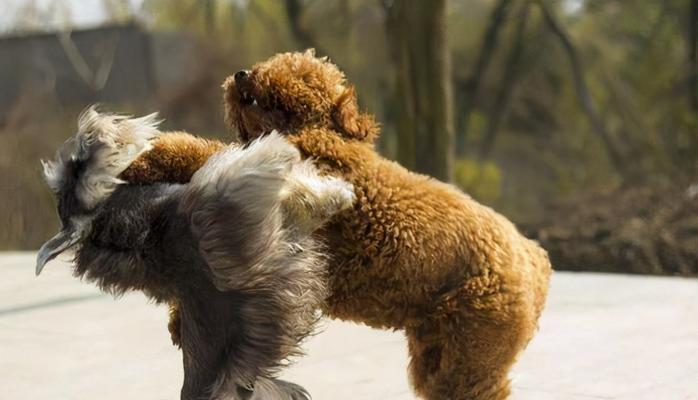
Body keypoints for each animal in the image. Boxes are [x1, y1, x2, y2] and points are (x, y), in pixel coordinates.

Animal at [123, 50, 548, 400]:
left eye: (300, 74)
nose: (243, 74)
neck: (320, 131)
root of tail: (534, 258)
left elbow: (202, 155)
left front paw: (143, 158)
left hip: (472, 352)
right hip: (440, 350)